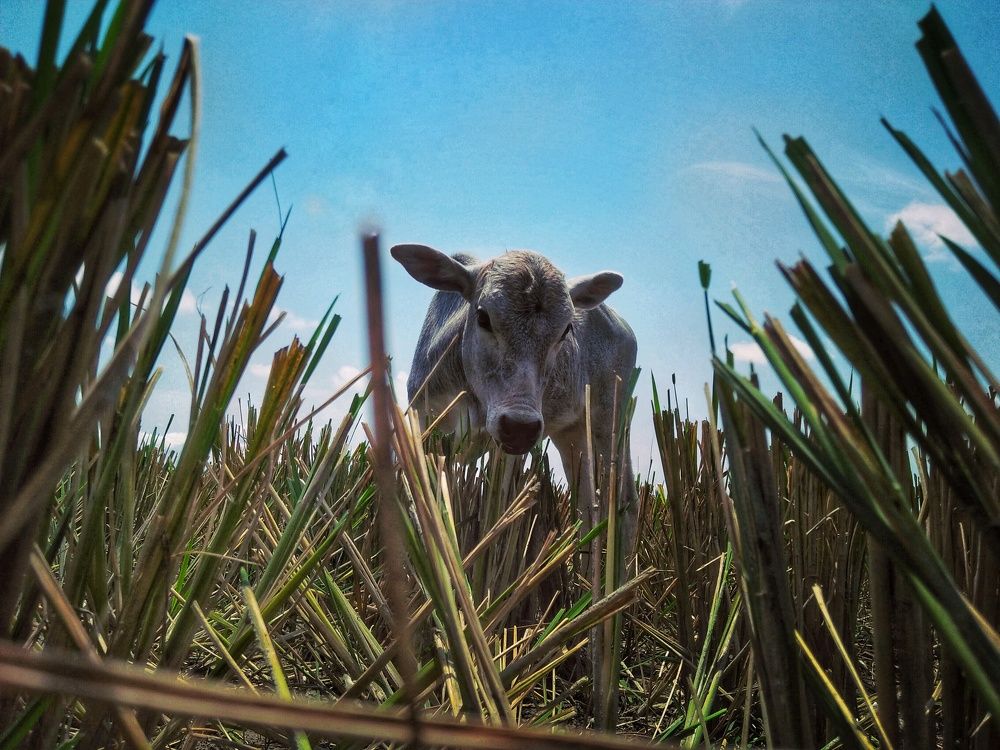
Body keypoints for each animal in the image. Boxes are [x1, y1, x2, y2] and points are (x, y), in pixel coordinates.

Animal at [390, 243, 638, 559]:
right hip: (573, 435)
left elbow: (496, 509)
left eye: (566, 329)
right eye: (483, 317)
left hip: (611, 424)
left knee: (625, 502)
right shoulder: (422, 425)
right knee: (585, 506)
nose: (520, 427)